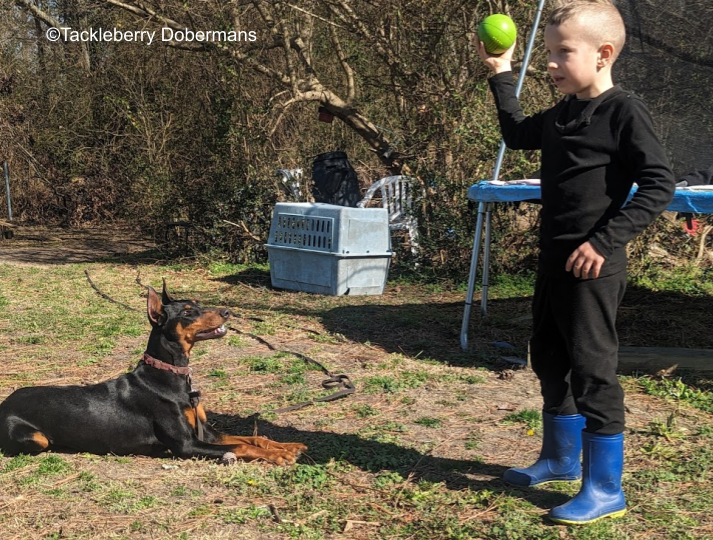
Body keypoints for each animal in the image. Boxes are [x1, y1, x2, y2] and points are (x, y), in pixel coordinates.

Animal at [0, 282, 304, 464]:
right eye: (187, 312)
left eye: (198, 304)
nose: (227, 311)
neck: (170, 375)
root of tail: (4, 403)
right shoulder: (186, 445)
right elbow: (242, 447)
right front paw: (277, 457)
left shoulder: (206, 433)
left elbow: (254, 438)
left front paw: (286, 447)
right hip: (36, 438)